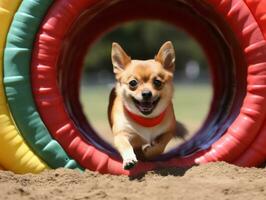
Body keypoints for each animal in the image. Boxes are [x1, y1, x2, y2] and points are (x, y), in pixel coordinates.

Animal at [107, 41, 186, 170]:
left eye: (157, 82)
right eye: (133, 83)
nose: (146, 93)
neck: (146, 119)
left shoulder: (169, 132)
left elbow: (160, 147)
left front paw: (149, 152)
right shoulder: (121, 134)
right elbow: (125, 145)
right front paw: (129, 159)